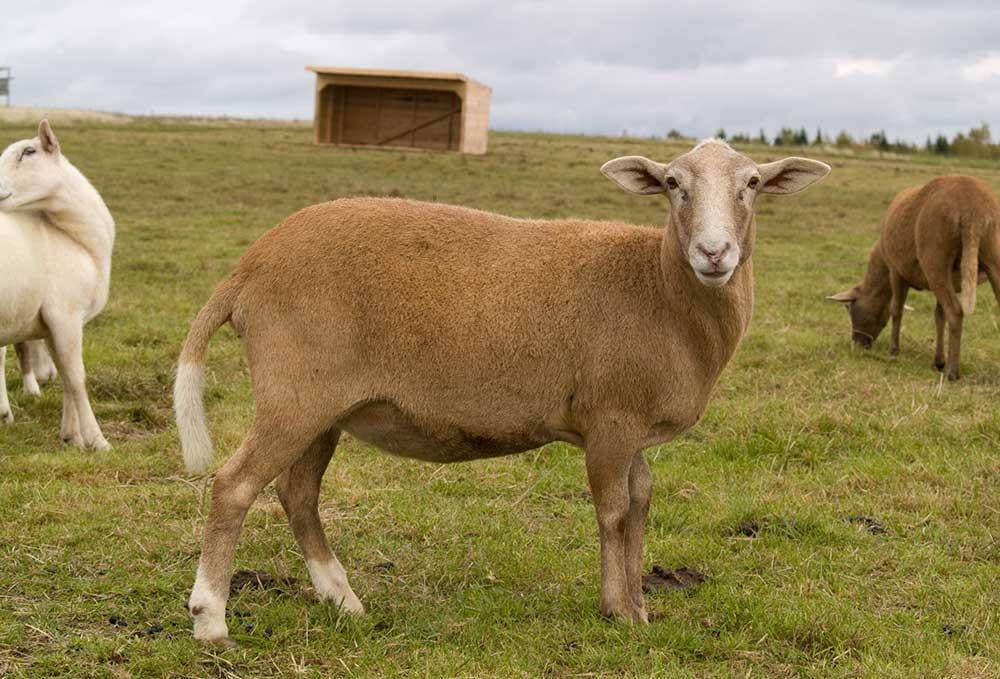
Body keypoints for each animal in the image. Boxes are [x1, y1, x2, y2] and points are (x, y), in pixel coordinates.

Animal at [174, 139, 828, 644]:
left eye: (752, 183)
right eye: (672, 183)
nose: (714, 252)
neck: (660, 288)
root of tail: (251, 265)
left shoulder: (633, 425)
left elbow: (641, 501)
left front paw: (641, 608)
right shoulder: (611, 419)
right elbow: (614, 511)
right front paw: (617, 611)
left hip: (323, 405)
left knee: (298, 493)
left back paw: (343, 600)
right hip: (293, 390)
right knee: (235, 485)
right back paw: (211, 619)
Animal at [828, 175, 1000, 380]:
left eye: (849, 308)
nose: (857, 344)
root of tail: (972, 211)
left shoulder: (896, 271)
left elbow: (896, 309)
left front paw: (894, 351)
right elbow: (939, 316)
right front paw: (938, 360)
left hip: (935, 258)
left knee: (955, 312)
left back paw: (952, 372)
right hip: (991, 254)